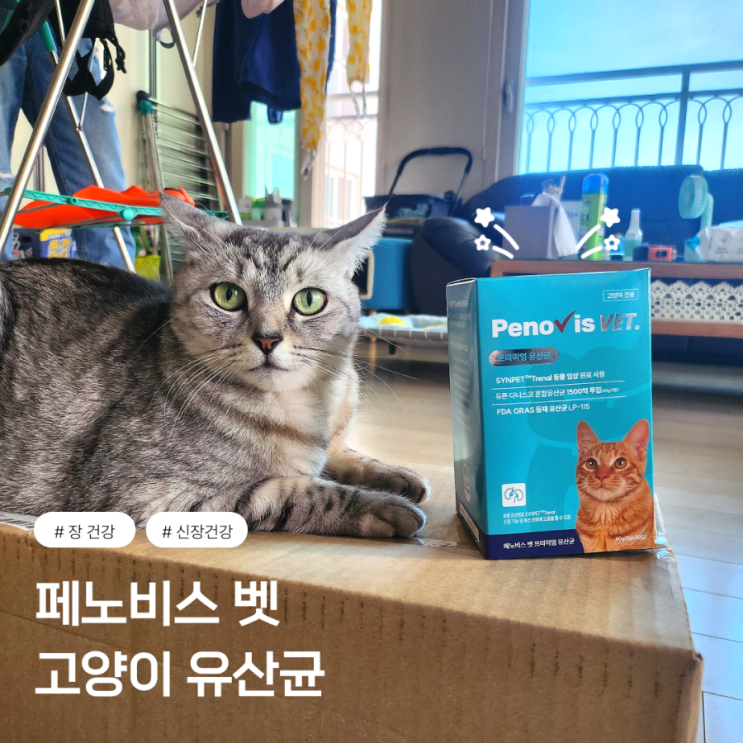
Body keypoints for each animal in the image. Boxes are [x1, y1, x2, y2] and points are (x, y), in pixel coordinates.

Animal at [0, 196, 428, 538]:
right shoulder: (149, 495)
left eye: (308, 300)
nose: (268, 339)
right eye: (228, 296)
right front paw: (383, 507)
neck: (306, 407)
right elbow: (296, 493)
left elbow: (346, 454)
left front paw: (400, 475)